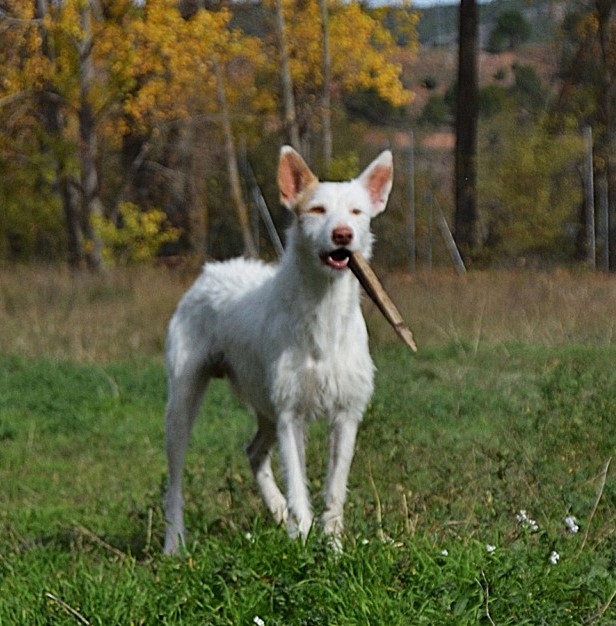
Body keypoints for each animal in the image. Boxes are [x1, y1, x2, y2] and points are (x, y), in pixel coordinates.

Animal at [164, 145, 392, 552]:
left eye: (357, 212)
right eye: (316, 210)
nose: (343, 235)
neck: (323, 312)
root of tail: (211, 271)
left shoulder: (346, 415)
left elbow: (334, 491)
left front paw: (333, 548)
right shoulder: (290, 415)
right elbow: (299, 486)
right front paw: (300, 543)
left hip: (264, 405)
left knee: (254, 452)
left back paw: (278, 510)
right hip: (183, 402)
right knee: (174, 482)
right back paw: (174, 544)